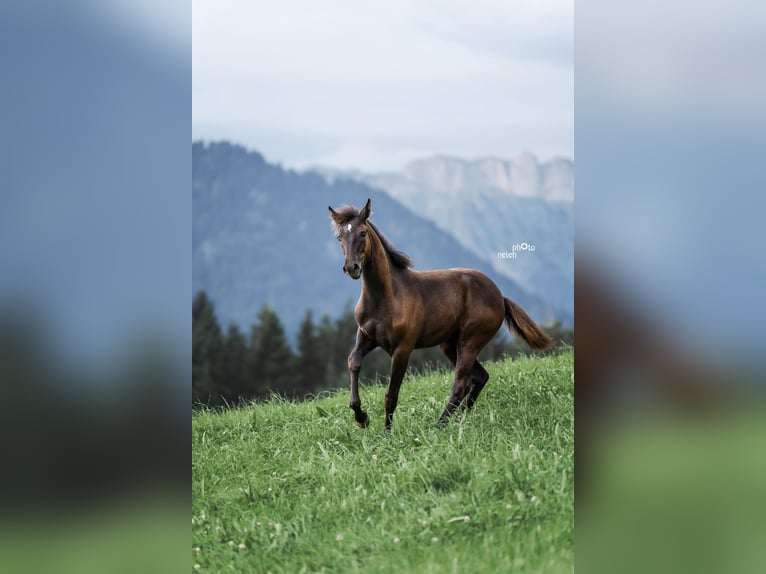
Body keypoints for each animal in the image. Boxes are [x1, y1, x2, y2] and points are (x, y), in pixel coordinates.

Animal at [330, 200, 552, 430]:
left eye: (363, 233)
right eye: (339, 237)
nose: (352, 267)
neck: (386, 297)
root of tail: (500, 296)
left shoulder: (402, 349)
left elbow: (391, 395)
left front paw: (386, 433)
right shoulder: (365, 336)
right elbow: (353, 362)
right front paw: (361, 418)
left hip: (469, 342)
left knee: (461, 383)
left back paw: (439, 426)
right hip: (449, 345)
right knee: (480, 377)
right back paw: (460, 419)